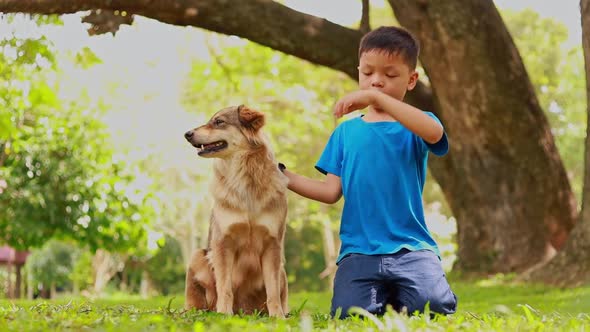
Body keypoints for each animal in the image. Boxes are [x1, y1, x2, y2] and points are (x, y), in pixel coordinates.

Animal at [183, 105, 290, 316]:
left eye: (219, 122)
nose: (187, 134)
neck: (245, 175)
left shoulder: (273, 245)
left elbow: (273, 290)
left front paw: (278, 316)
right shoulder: (222, 243)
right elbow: (224, 287)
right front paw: (224, 314)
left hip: (282, 270)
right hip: (197, 255)